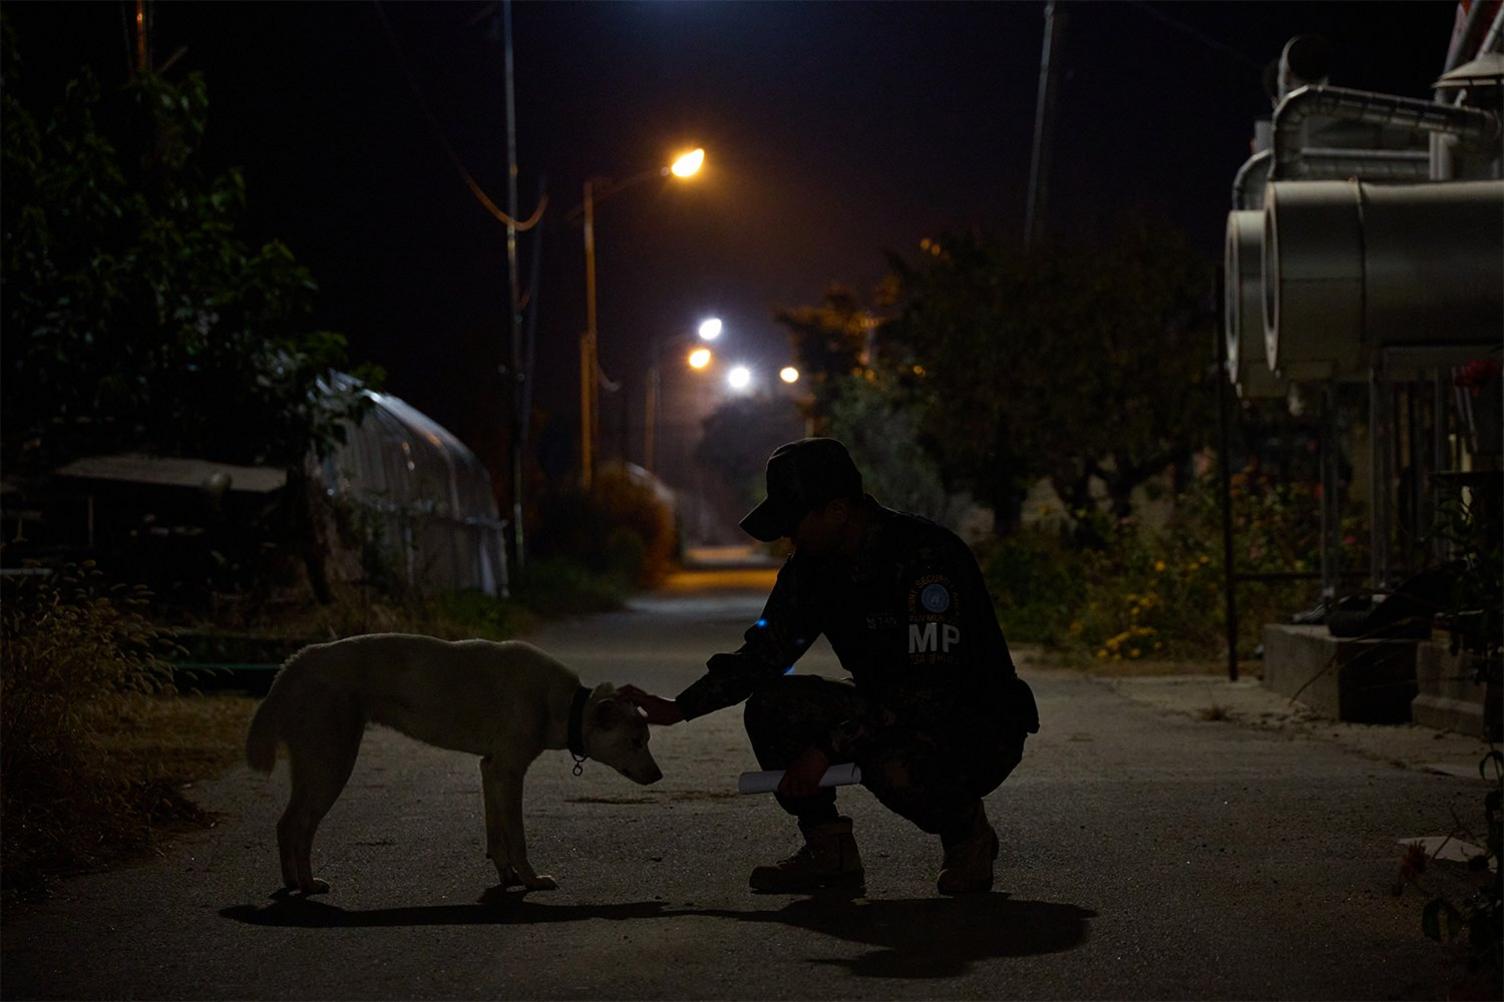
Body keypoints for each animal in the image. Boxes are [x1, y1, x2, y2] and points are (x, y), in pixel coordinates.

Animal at [245, 631, 658, 890]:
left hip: (317, 766)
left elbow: (497, 834)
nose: (658, 776)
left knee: (286, 825)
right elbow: (518, 837)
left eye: (646, 739)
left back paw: (293, 882)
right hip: (332, 765)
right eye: (636, 741)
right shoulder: (509, 771)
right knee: (298, 826)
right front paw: (530, 880)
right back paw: (306, 884)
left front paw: (508, 876)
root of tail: (297, 659)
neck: (565, 706)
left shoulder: (491, 769)